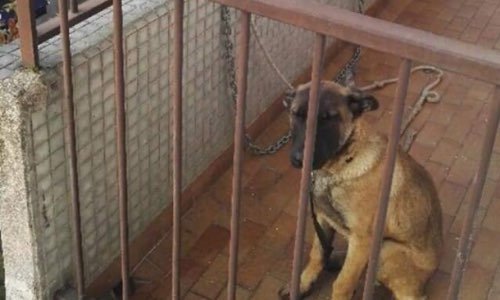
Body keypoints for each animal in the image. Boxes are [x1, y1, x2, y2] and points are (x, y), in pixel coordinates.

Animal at [280, 81, 444, 298]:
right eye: (296, 114)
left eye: (329, 119)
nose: (298, 159)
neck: (339, 167)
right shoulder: (322, 218)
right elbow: (316, 254)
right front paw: (302, 284)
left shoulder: (362, 239)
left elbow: (343, 283)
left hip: (386, 249)